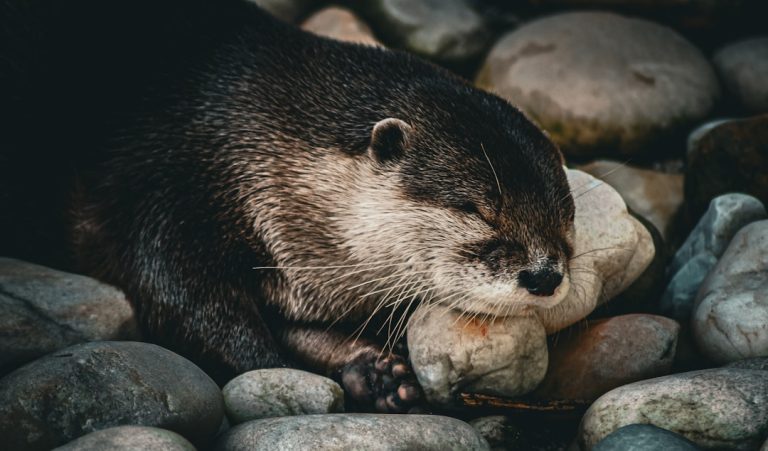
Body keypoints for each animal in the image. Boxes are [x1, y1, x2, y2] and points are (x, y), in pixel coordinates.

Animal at [0, 0, 575, 412]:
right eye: (478, 208)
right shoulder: (156, 190)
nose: (544, 275)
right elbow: (178, 301)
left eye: (566, 217)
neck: (237, 132)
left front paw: (370, 368)